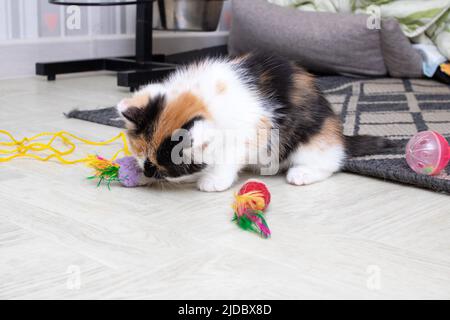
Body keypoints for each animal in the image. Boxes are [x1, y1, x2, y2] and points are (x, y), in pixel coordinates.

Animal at [117, 53, 390, 191]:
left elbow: (228, 157)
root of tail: (340, 135)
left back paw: (303, 173)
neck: (204, 97)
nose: (147, 171)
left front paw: (214, 180)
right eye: (142, 157)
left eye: (161, 168)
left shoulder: (251, 130)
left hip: (314, 139)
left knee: (330, 162)